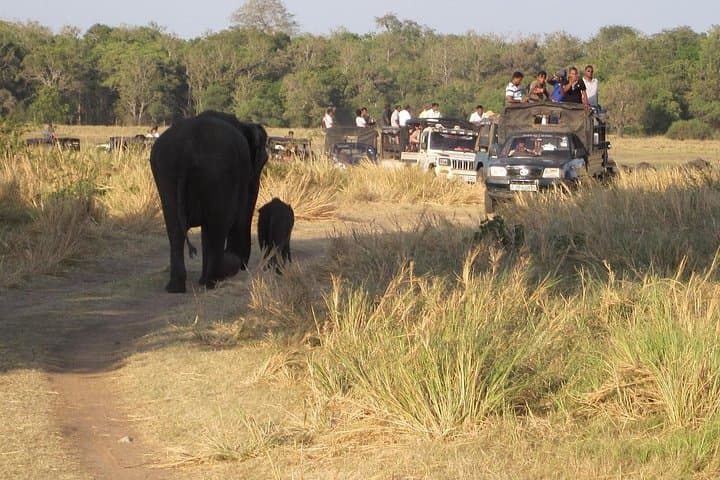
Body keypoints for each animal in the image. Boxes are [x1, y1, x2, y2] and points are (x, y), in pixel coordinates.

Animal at [150, 110, 268, 293]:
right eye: (263, 162)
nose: (241, 265)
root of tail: (186, 151)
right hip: (218, 173)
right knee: (217, 228)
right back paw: (211, 281)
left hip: (166, 173)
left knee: (176, 230)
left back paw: (178, 287)